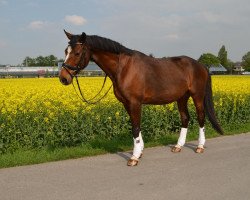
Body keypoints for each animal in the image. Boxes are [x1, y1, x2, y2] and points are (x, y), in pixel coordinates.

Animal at [58, 30, 223, 166]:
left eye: (77, 53)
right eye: (66, 51)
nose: (63, 78)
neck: (124, 68)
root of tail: (201, 65)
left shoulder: (134, 102)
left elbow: (135, 127)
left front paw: (134, 157)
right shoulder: (127, 103)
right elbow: (136, 125)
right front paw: (140, 151)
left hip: (197, 96)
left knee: (201, 117)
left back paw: (200, 146)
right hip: (181, 98)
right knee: (185, 118)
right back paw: (178, 146)